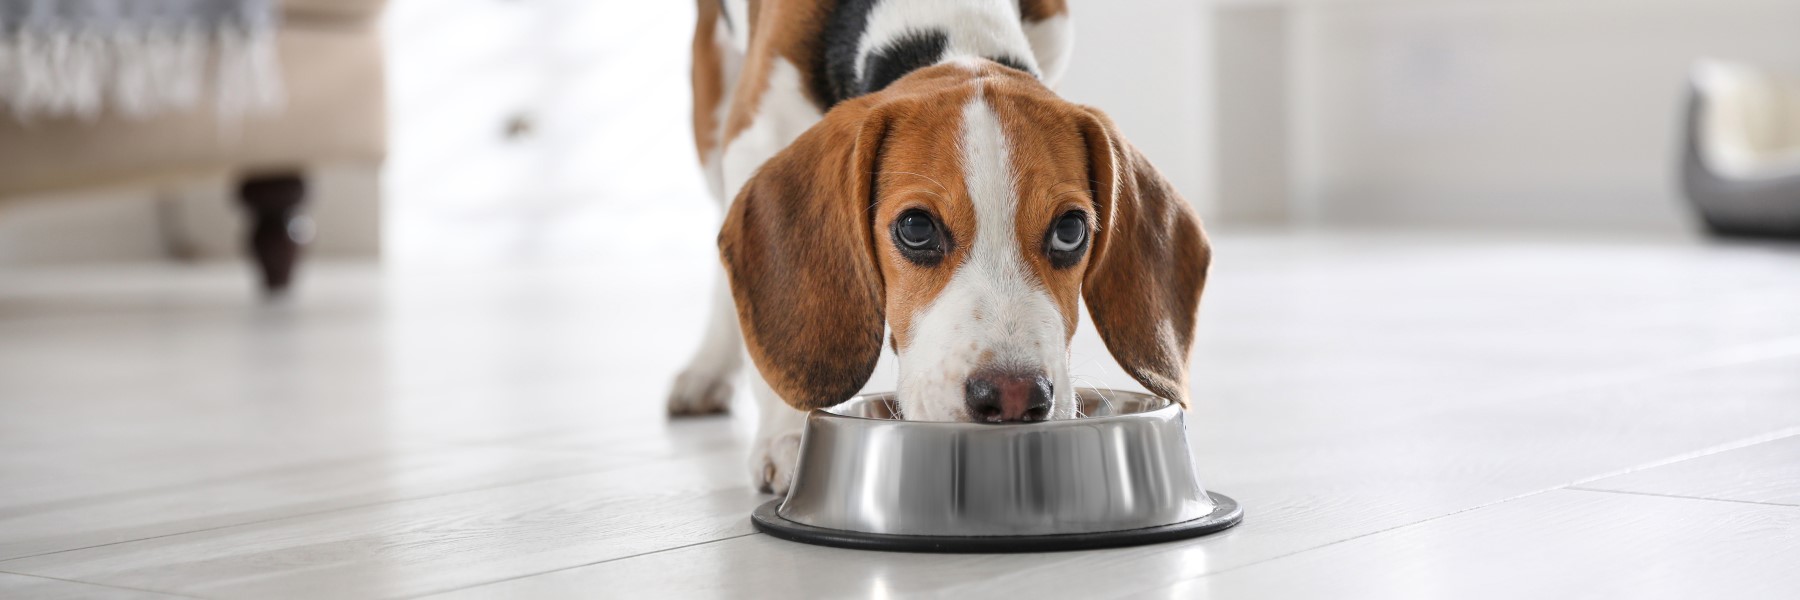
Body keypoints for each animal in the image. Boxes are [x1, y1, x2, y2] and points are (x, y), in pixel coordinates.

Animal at [673, 0, 1209, 490]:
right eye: (916, 228)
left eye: (1071, 230)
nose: (1014, 397)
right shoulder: (756, 133)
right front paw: (786, 436)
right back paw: (706, 370)